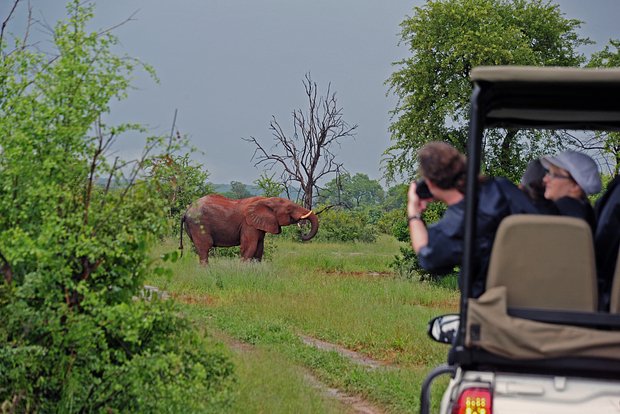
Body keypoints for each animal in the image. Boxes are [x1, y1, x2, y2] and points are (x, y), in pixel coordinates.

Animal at [178, 195, 318, 266]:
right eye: (289, 209)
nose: (302, 233)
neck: (266, 199)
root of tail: (186, 211)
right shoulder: (248, 225)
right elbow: (249, 247)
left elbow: (259, 249)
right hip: (198, 224)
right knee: (204, 248)